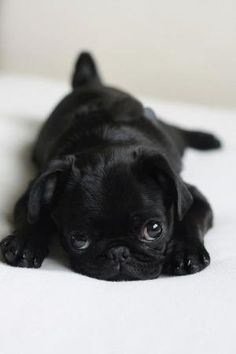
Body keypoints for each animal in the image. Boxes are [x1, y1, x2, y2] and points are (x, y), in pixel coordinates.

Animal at [0, 52, 221, 280]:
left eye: (154, 229)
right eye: (79, 239)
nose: (118, 252)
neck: (107, 141)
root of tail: (91, 83)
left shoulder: (193, 198)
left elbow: (190, 220)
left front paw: (186, 251)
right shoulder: (34, 190)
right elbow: (33, 216)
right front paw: (24, 243)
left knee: (177, 129)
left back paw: (207, 138)